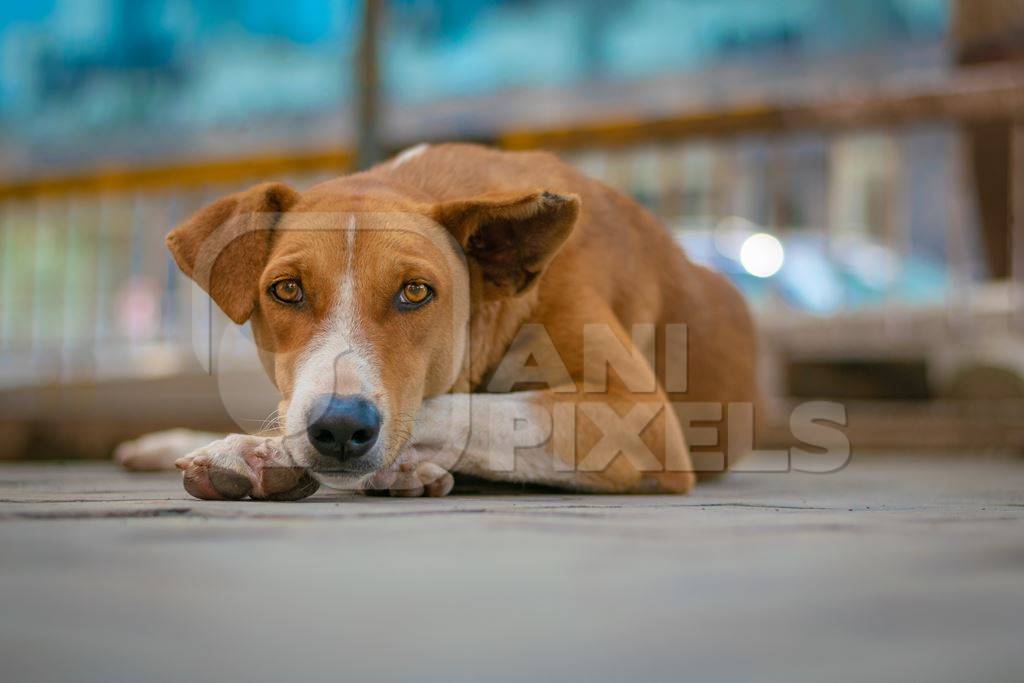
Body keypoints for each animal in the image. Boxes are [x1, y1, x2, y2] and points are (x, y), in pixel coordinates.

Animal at [121, 144, 761, 499]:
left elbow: (458, 410)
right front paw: (254, 449)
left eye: (415, 291)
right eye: (287, 289)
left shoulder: (640, 415)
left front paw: (266, 455)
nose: (340, 427)